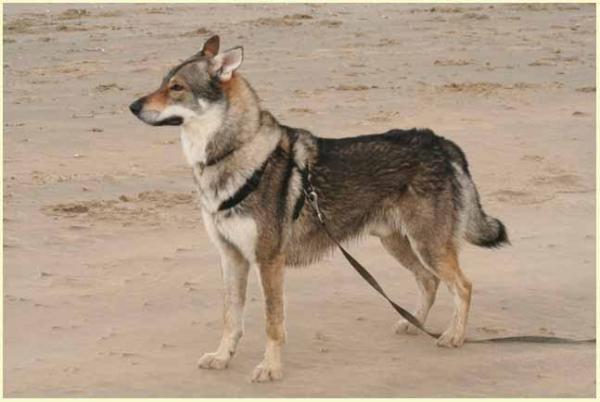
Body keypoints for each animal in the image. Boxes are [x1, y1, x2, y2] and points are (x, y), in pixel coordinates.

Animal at [129, 36, 508, 382]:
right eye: (162, 82)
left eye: (177, 88)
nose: (132, 106)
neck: (235, 156)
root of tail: (441, 142)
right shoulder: (231, 257)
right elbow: (230, 318)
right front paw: (222, 357)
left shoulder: (269, 261)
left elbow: (272, 322)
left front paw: (270, 368)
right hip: (398, 243)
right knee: (429, 281)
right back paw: (413, 324)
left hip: (428, 245)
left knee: (462, 286)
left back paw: (454, 335)